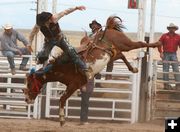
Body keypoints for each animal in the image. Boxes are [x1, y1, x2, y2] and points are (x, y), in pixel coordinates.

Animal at [22, 15, 160, 126]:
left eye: (29, 84)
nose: (27, 100)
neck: (63, 67)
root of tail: (108, 29)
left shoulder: (73, 85)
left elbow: (62, 99)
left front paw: (61, 119)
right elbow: (63, 99)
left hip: (126, 44)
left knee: (140, 43)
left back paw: (157, 44)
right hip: (114, 53)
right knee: (122, 55)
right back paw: (133, 68)